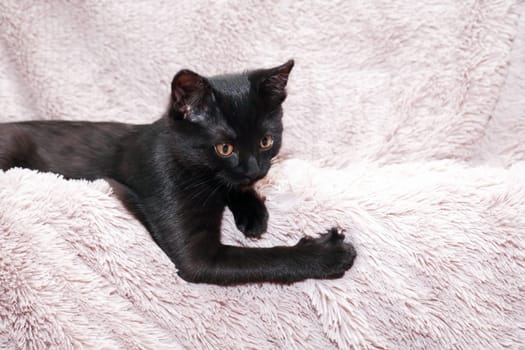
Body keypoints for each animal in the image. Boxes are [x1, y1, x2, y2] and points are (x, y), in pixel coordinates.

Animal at [0, 60, 356, 284]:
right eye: (224, 148)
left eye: (266, 141)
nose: (255, 170)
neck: (199, 176)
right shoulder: (199, 258)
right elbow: (266, 260)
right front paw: (328, 255)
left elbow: (232, 187)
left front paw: (253, 213)